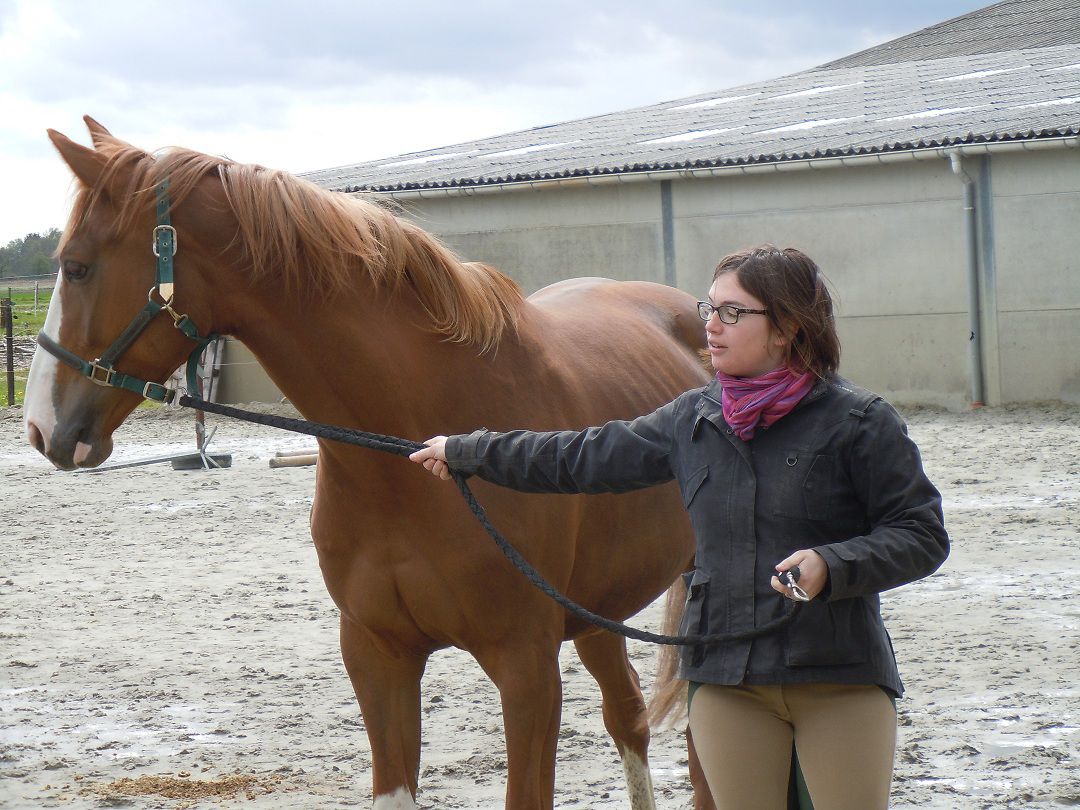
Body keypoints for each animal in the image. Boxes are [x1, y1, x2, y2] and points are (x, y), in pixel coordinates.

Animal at [25, 117, 712, 810]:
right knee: (628, 716)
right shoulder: (376, 654)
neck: (406, 461)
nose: (39, 427)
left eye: (76, 268)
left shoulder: (527, 667)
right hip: (599, 611)